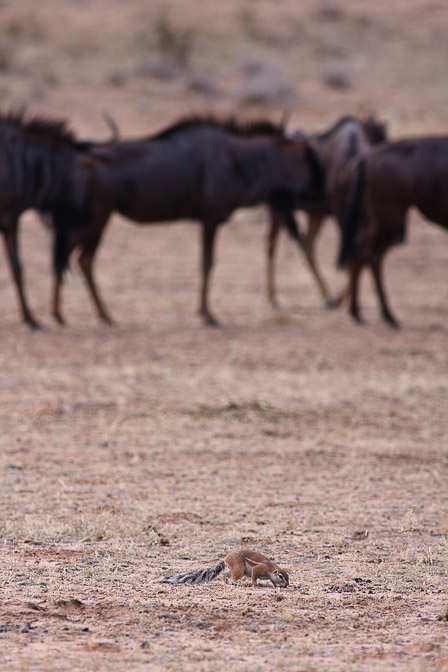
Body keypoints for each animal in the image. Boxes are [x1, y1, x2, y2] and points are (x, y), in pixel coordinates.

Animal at [159, 548, 288, 584]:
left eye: (288, 577)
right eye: (281, 576)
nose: (286, 585)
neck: (271, 568)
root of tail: (225, 559)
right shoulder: (259, 569)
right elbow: (254, 576)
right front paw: (255, 584)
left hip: (237, 569)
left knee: (226, 574)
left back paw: (226, 581)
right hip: (239, 569)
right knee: (232, 576)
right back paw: (233, 583)